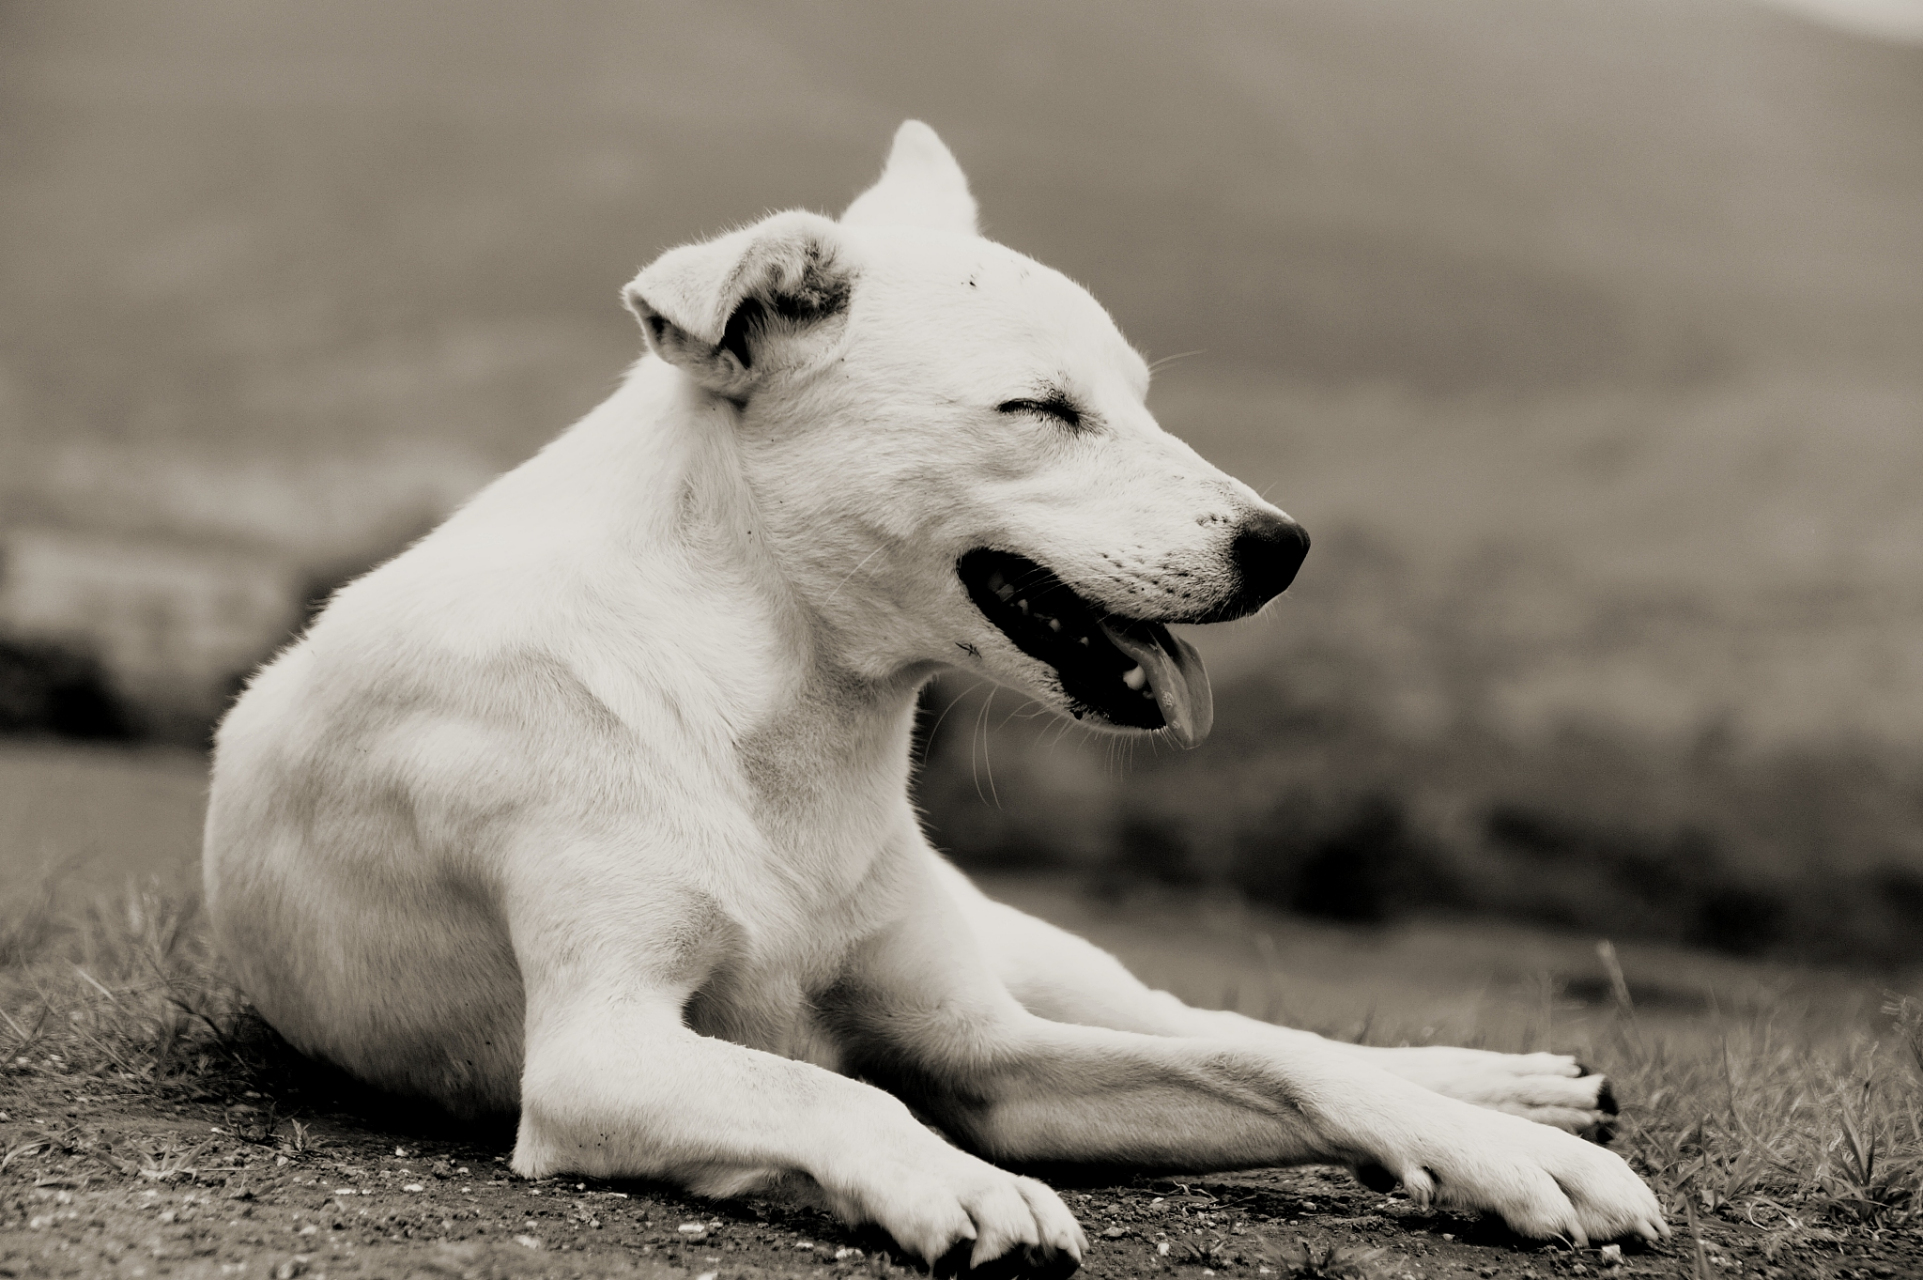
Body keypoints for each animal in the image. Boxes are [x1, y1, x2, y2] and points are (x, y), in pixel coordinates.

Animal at [210, 119, 1669, 1268]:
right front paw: (964, 1189)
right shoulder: (601, 1051)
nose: (1284, 547)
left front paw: (1500, 1157)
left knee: (1216, 1019)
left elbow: (1270, 1057)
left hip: (1034, 955)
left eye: (1140, 399)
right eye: (1040, 409)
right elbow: (845, 1097)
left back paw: (1516, 1099)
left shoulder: (976, 1043)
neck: (768, 697)